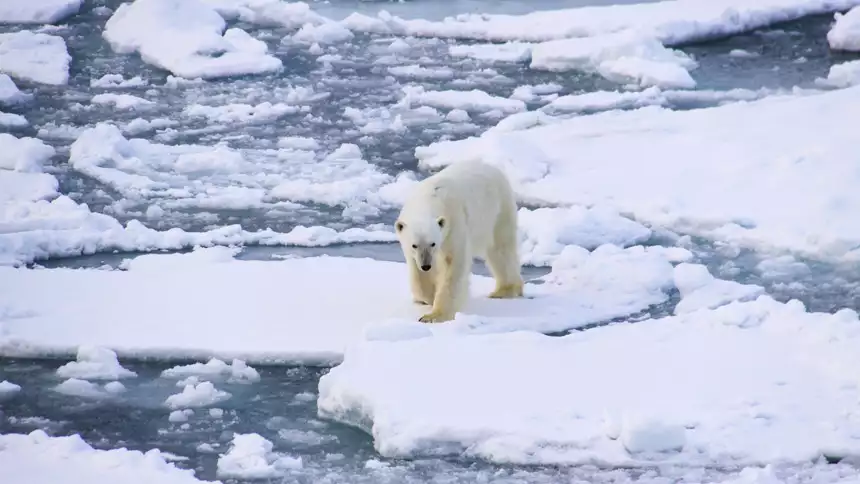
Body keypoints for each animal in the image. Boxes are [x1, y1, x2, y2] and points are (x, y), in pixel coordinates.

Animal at [394, 160, 524, 323]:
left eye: (433, 243)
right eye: (414, 245)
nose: (426, 265)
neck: (428, 199)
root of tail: (493, 168)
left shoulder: (454, 224)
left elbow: (453, 264)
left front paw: (434, 315)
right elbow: (417, 273)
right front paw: (428, 297)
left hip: (498, 210)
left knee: (501, 248)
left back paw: (504, 290)